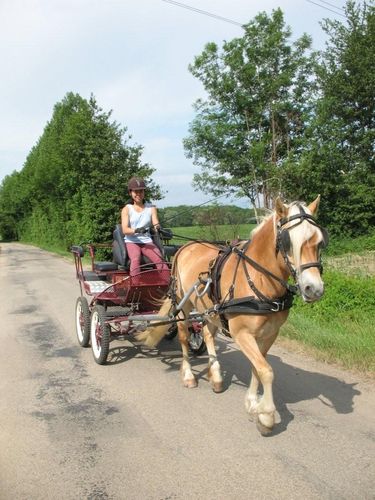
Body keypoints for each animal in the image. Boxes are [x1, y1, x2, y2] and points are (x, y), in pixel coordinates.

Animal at [138, 196, 328, 434]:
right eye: (287, 242)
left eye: (320, 241)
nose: (314, 289)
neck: (258, 278)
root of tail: (185, 247)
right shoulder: (242, 334)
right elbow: (266, 371)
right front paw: (266, 415)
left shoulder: (270, 334)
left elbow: (257, 367)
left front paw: (252, 403)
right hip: (184, 303)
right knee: (183, 336)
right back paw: (189, 375)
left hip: (209, 308)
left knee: (208, 334)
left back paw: (216, 375)